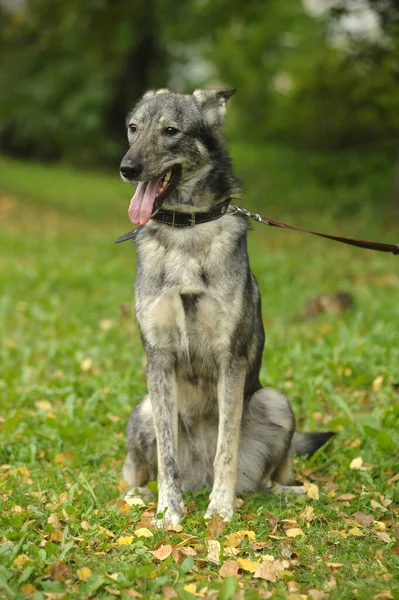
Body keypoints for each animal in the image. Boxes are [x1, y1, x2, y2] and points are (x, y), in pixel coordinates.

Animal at [119, 88, 334, 524]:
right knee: (137, 473)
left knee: (266, 480)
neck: (185, 230)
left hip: (275, 402)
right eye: (133, 128)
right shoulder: (159, 358)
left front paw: (220, 508)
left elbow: (226, 449)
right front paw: (169, 512)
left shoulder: (230, 358)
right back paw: (141, 496)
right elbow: (167, 456)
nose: (127, 168)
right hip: (144, 408)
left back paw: (293, 493)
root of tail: (197, 479)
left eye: (171, 131)